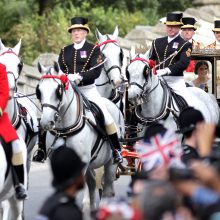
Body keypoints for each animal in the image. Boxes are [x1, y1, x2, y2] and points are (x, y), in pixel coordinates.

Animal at [37, 61, 124, 210]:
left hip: (111, 163)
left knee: (107, 187)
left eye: (58, 90)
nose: (46, 122)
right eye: (39, 91)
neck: (65, 129)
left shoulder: (81, 163)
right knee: (92, 184)